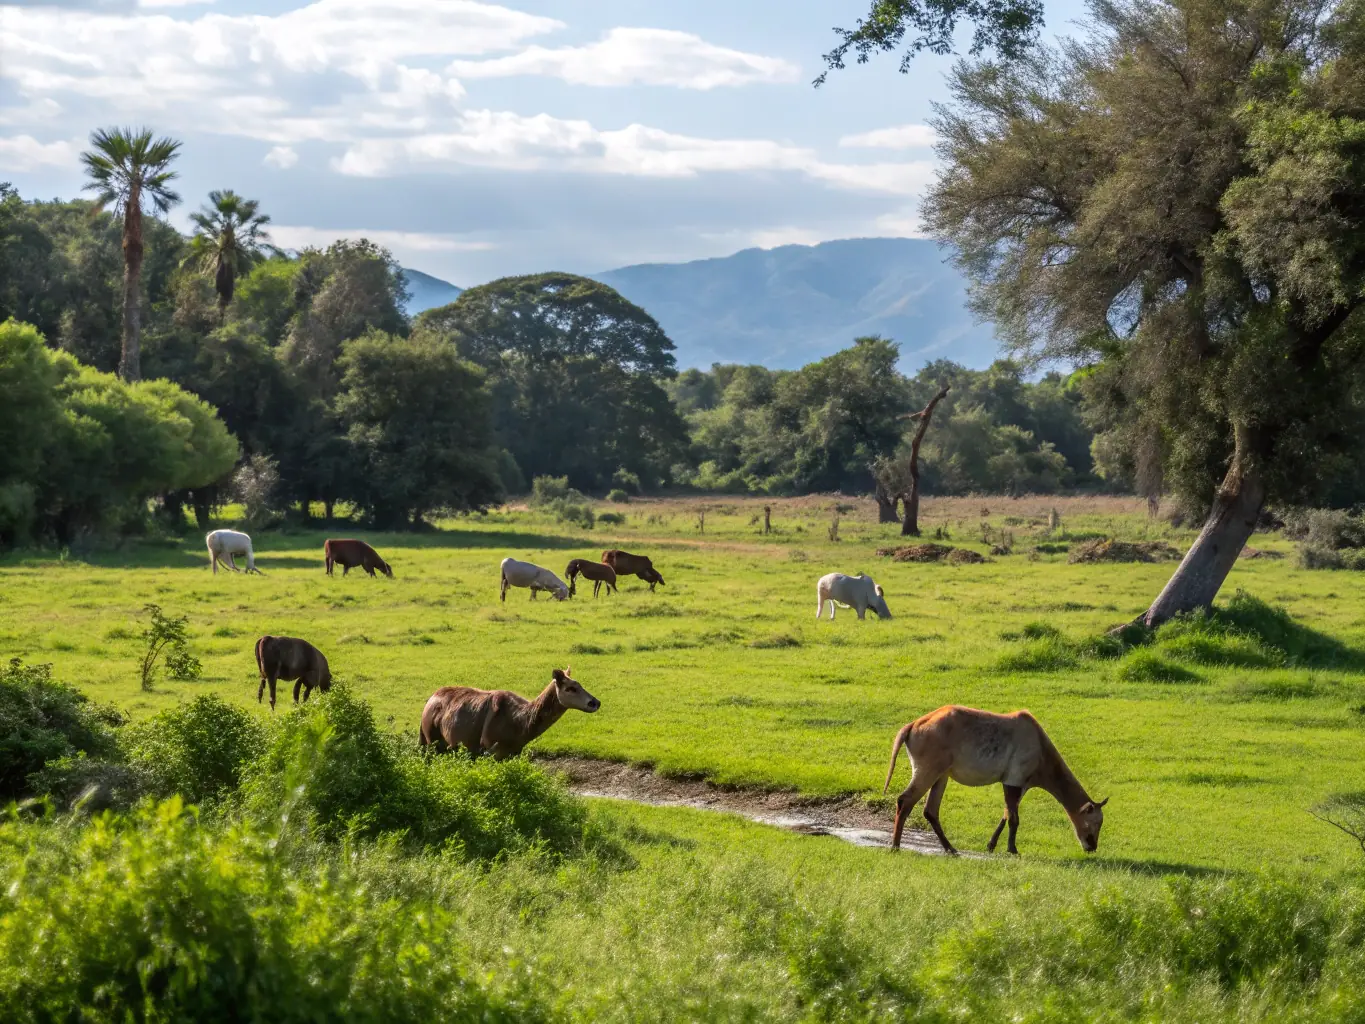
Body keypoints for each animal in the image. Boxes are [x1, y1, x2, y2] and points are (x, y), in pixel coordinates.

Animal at [883, 705, 1108, 856]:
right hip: (928, 771)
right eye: (1095, 823)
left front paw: (991, 845)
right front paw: (1012, 849)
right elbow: (1014, 819)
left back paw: (950, 848)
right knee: (905, 801)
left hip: (941, 776)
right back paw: (895, 846)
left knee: (930, 811)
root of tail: (913, 725)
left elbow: (1006, 814)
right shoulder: (1014, 780)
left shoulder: (1019, 784)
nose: (1092, 847)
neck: (1039, 746)